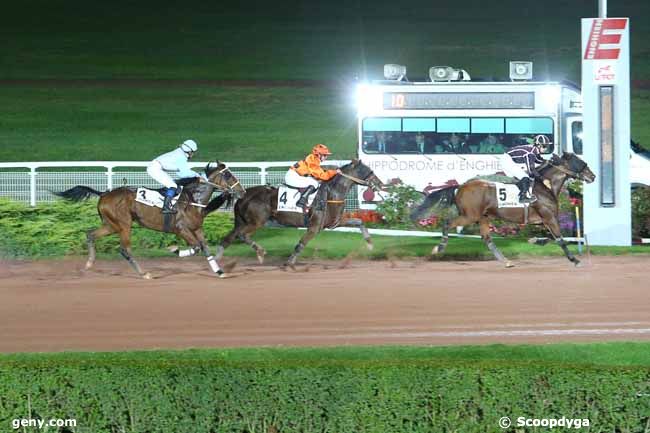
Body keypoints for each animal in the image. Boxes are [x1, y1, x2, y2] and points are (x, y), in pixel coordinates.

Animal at [53, 161, 243, 276]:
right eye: (228, 175)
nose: (241, 191)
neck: (192, 199)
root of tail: (104, 194)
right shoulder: (181, 229)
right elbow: (196, 247)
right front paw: (174, 249)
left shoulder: (197, 228)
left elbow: (205, 248)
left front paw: (219, 271)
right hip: (124, 224)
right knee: (124, 249)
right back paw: (143, 273)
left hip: (111, 225)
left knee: (90, 235)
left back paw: (89, 264)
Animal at [213, 159, 384, 266]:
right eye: (368, 171)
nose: (380, 184)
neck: (331, 194)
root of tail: (243, 195)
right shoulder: (314, 227)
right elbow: (300, 245)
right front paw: (289, 263)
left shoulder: (334, 223)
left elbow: (360, 222)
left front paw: (370, 244)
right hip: (256, 222)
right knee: (243, 235)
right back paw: (260, 252)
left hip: (241, 222)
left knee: (227, 239)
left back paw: (216, 261)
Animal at [412, 152, 596, 266]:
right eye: (580, 162)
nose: (593, 176)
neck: (545, 186)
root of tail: (461, 186)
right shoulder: (549, 217)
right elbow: (561, 240)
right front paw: (575, 260)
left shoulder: (544, 220)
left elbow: (553, 238)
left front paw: (534, 240)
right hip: (470, 216)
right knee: (447, 222)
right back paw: (438, 248)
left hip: (483, 217)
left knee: (487, 238)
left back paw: (506, 261)